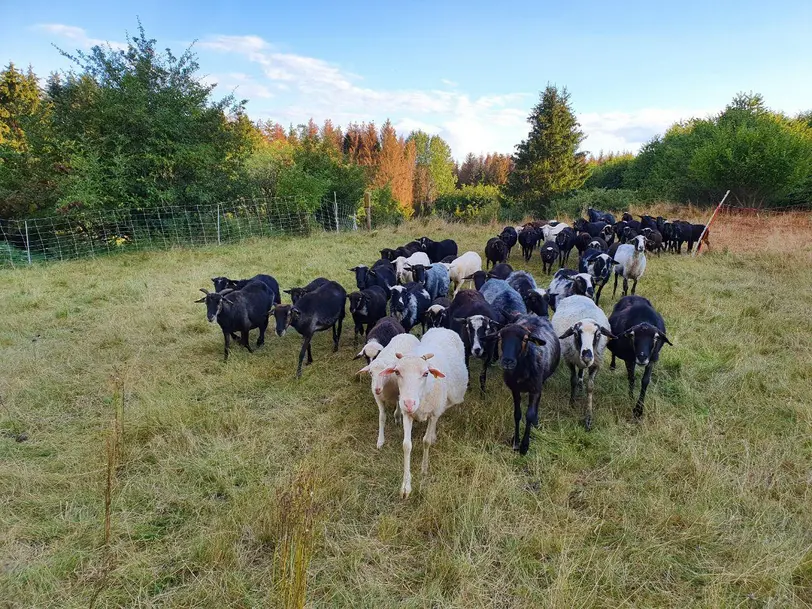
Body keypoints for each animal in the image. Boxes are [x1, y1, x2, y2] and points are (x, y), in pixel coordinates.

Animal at [380, 328, 470, 494]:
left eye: (426, 373)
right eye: (397, 372)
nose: (409, 403)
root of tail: (443, 328)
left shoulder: (433, 413)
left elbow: (426, 441)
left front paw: (424, 468)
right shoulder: (407, 415)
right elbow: (406, 445)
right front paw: (406, 486)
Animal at [492, 314, 560, 452]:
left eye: (525, 339)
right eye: (500, 337)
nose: (507, 361)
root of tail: (535, 316)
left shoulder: (535, 389)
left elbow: (529, 415)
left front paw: (524, 446)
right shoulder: (515, 389)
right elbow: (517, 414)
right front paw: (516, 442)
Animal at [552, 294, 616, 428]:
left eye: (598, 334)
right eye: (576, 334)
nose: (587, 357)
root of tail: (577, 295)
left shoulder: (596, 363)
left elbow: (590, 387)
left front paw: (588, 417)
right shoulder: (569, 360)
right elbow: (573, 380)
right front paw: (572, 402)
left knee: (581, 371)